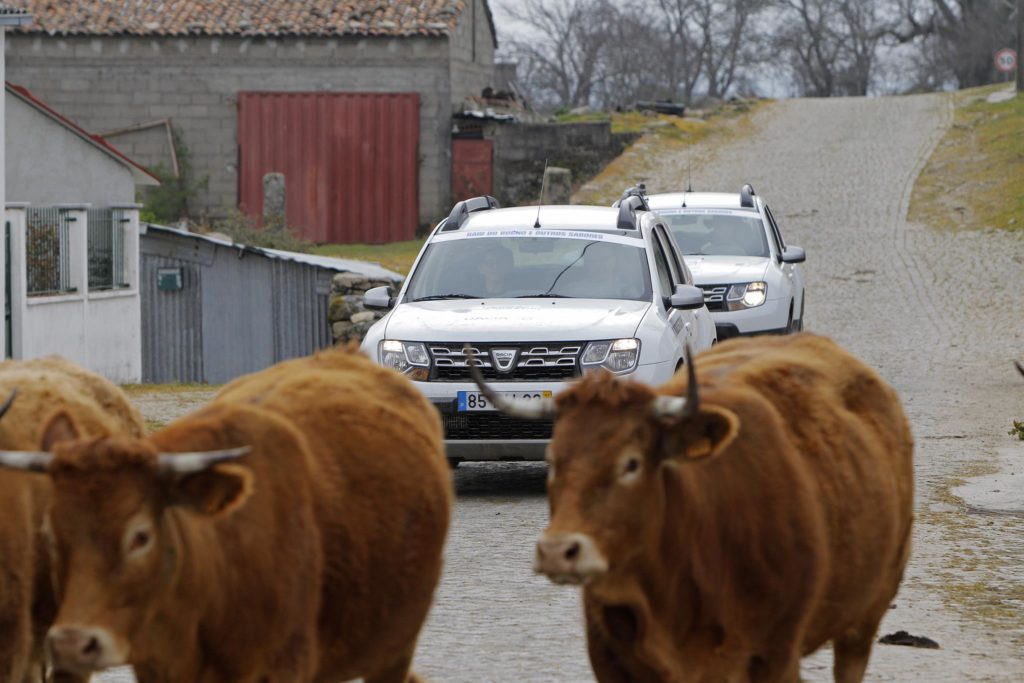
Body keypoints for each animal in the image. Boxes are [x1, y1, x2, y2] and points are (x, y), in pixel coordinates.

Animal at [471, 333, 913, 679]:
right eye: (552, 459)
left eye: (631, 463)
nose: (557, 550)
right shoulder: (612, 661)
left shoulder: (775, 656)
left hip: (865, 617)